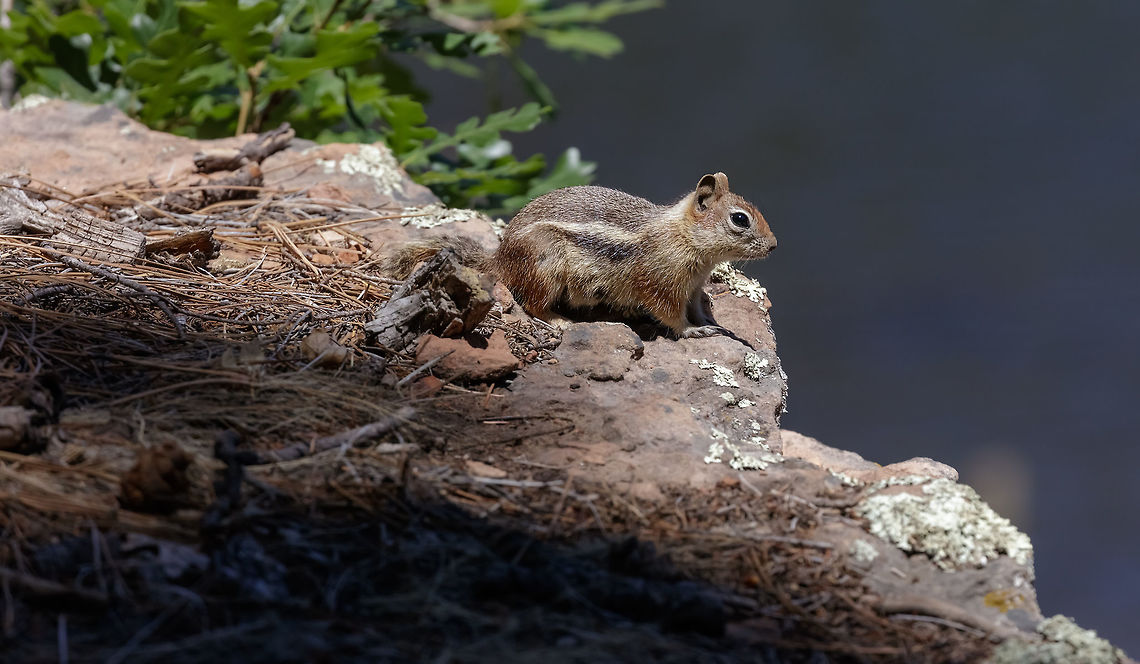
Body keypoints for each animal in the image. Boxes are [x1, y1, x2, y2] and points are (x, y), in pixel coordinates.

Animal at [387, 172, 776, 338]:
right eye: (740, 219)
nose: (774, 246)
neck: (683, 236)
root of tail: (501, 257)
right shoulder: (660, 284)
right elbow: (670, 316)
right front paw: (694, 331)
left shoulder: (693, 287)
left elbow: (697, 307)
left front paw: (712, 322)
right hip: (546, 269)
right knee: (532, 305)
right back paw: (562, 321)